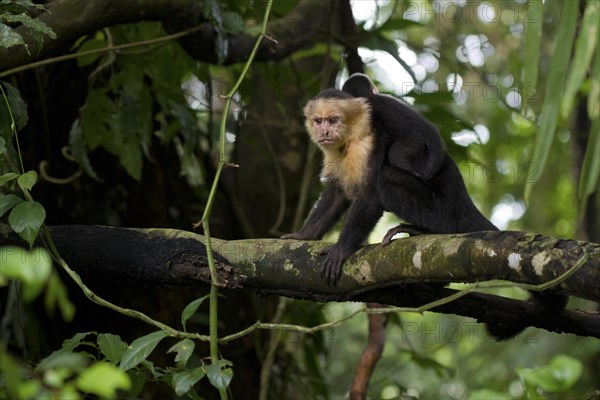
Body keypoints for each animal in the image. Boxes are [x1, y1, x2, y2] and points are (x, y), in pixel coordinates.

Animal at [282, 73, 496, 286]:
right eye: (318, 121)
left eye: (333, 120)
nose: (324, 132)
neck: (350, 136)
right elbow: (337, 194)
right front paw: (303, 235)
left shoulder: (368, 140)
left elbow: (370, 196)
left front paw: (341, 248)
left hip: (444, 210)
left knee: (388, 176)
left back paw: (426, 231)